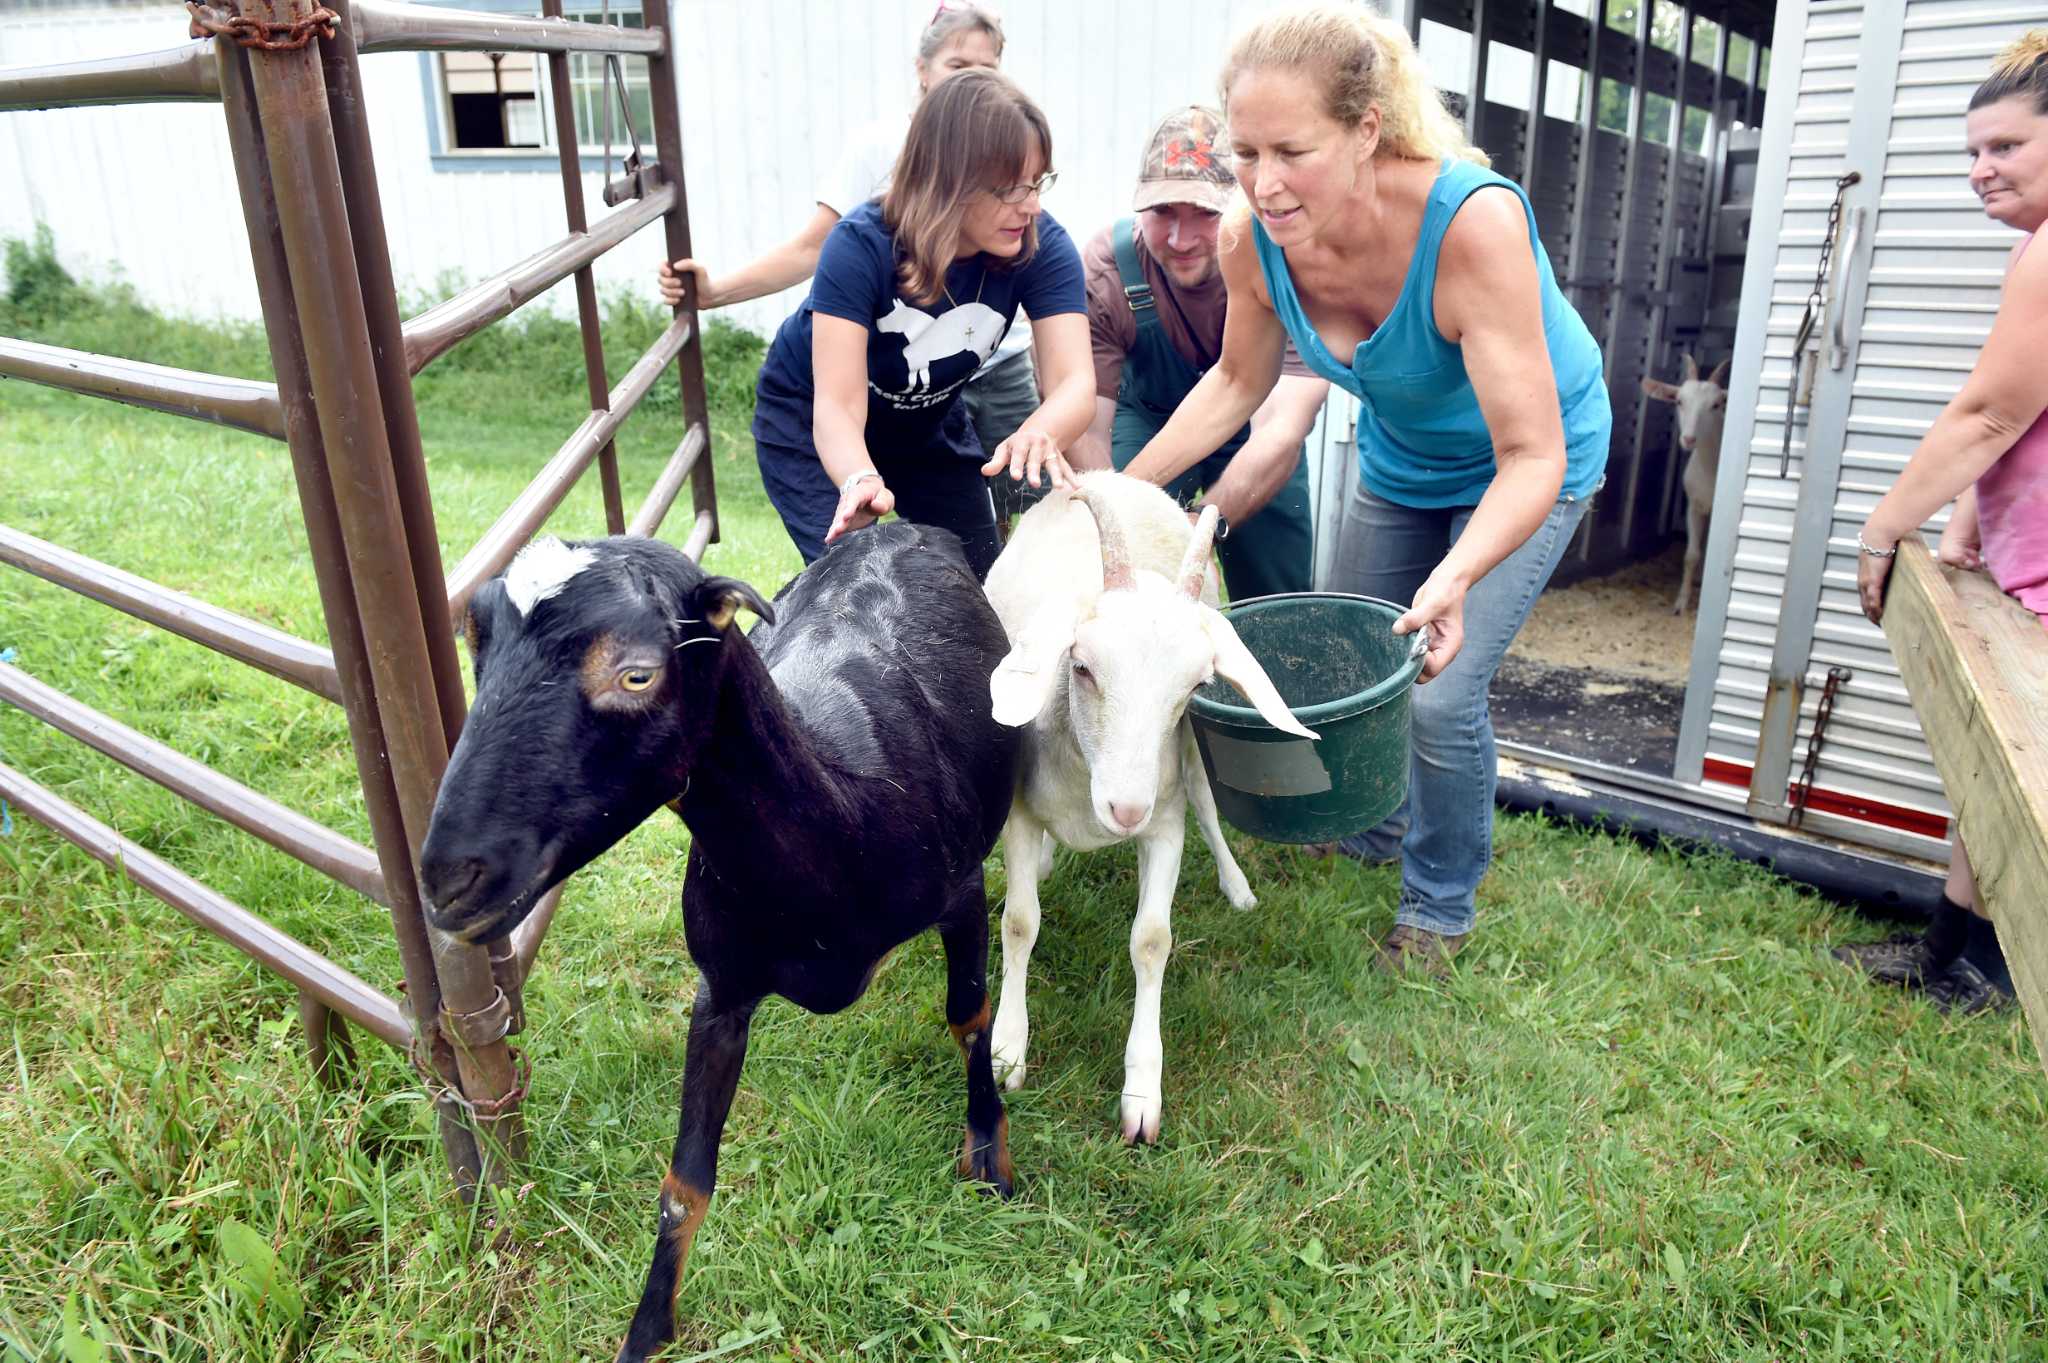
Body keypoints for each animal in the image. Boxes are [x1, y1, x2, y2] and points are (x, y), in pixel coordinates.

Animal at [417, 524, 1022, 1363]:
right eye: (476, 643)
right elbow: (684, 1183)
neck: (850, 816)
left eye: (638, 672)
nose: (448, 879)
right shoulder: (721, 987)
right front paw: (645, 1331)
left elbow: (970, 1016)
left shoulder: (961, 894)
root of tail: (893, 525)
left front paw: (989, 1154)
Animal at [982, 472, 1314, 1144]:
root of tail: (1117, 478)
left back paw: (1237, 886)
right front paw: (1006, 1052)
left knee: (1210, 809)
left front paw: (1141, 1092)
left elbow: (1153, 939)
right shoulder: (1021, 815)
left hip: (1189, 760)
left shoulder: (1165, 822)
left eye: (1196, 686)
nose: (1125, 808)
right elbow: (1020, 923)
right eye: (1081, 667)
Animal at [1642, 353, 1730, 615]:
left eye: (1716, 404)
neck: (1711, 468)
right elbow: (1691, 555)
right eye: (1679, 401)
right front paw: (1681, 603)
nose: (1689, 439)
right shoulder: (1694, 505)